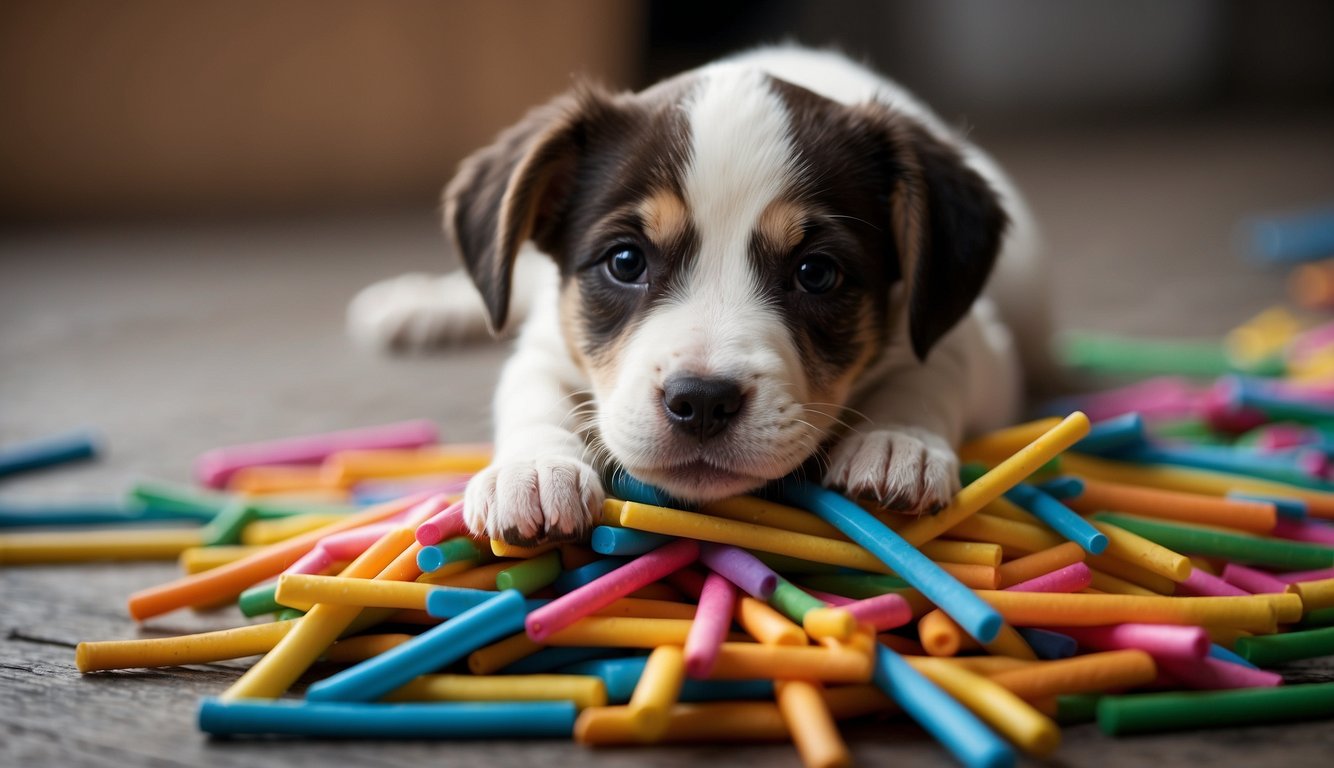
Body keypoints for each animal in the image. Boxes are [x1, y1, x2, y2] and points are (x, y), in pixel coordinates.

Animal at [349, 45, 1045, 544]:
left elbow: (931, 371)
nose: (703, 402)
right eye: (626, 262)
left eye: (816, 273)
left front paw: (897, 441)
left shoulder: (975, 338)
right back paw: (421, 306)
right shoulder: (545, 344)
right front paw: (535, 469)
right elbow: (533, 397)